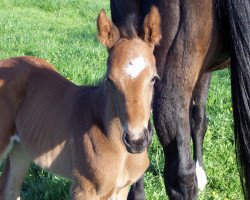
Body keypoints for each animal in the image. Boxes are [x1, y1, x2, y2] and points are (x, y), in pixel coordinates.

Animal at [0, 7, 161, 200]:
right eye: (110, 80)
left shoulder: (122, 189)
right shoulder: (83, 189)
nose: (136, 141)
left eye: (154, 78)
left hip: (21, 149)